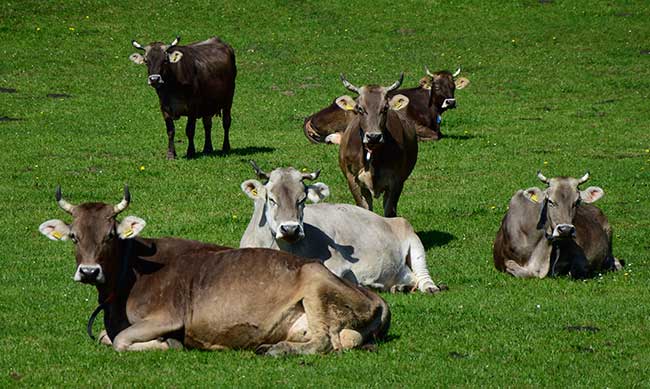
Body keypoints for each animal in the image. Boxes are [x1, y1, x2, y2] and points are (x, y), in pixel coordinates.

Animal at [39, 186, 390, 354]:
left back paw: (274, 350)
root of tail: (375, 296)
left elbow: (121, 341)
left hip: (315, 278)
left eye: (110, 236)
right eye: (74, 236)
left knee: (323, 342)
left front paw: (170, 344)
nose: (88, 272)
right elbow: (105, 337)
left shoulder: (168, 316)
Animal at [240, 162, 442, 292]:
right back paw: (399, 287)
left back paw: (428, 287)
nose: (290, 229)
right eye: (271, 199)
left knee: (422, 275)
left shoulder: (337, 263)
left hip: (412, 237)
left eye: (302, 200)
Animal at [334, 74, 416, 217]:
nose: (374, 136)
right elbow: (364, 208)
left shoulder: (396, 182)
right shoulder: (353, 180)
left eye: (385, 108)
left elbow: (389, 211)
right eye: (360, 108)